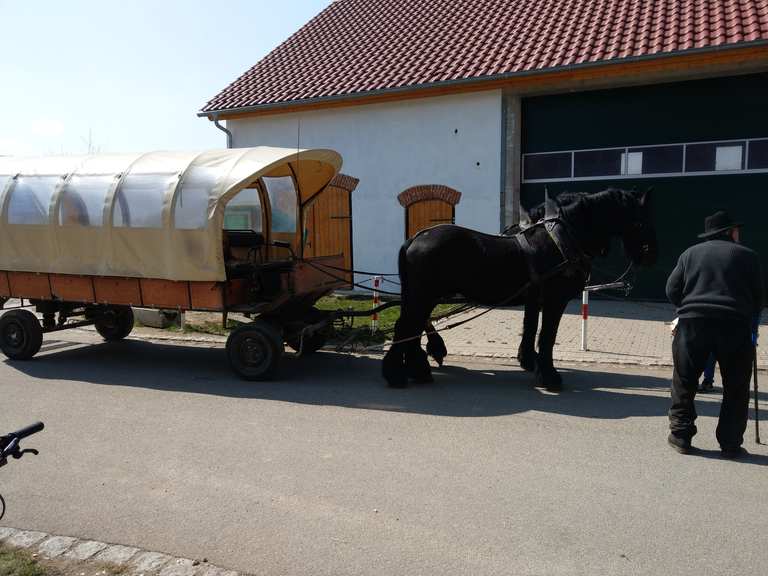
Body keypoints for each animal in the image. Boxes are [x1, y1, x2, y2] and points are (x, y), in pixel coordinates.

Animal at [380, 187, 656, 390]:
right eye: (641, 222)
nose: (649, 256)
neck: (561, 240)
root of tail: (415, 238)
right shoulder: (555, 299)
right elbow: (547, 336)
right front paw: (549, 376)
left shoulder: (534, 298)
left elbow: (530, 327)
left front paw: (529, 362)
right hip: (424, 295)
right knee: (407, 327)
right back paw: (397, 374)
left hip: (422, 296)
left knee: (413, 327)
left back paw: (417, 370)